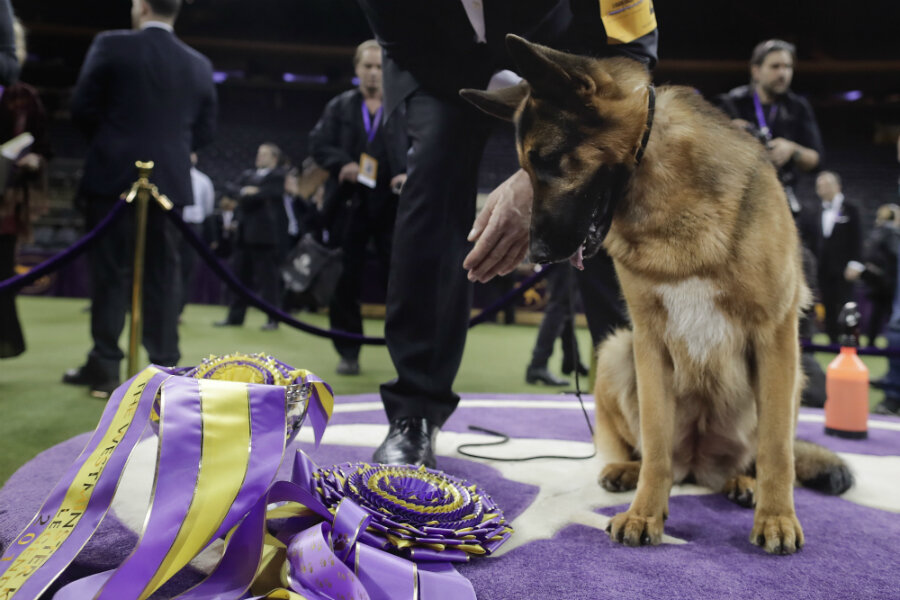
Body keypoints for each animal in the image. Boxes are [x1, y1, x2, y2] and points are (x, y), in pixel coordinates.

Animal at [464, 36, 852, 552]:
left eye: (549, 160)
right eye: (525, 169)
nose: (538, 254)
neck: (666, 192)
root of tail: (700, 466)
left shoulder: (776, 337)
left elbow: (776, 450)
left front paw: (776, 519)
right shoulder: (649, 342)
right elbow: (655, 442)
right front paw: (645, 513)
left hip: (789, 378)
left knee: (762, 450)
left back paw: (744, 482)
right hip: (616, 350)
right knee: (652, 452)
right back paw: (627, 470)